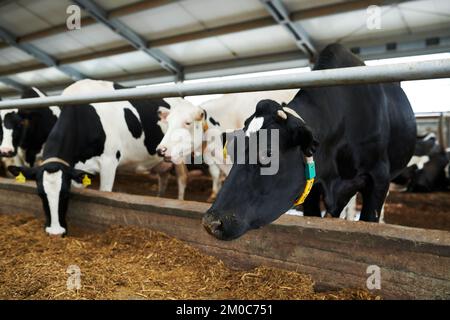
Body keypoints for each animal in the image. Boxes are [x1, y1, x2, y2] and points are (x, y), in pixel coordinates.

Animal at [8, 79, 188, 235]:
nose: (55, 232)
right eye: (40, 193)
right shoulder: (76, 168)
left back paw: (179, 201)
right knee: (163, 176)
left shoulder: (109, 161)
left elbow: (105, 192)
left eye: (65, 193)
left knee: (182, 178)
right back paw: (159, 198)